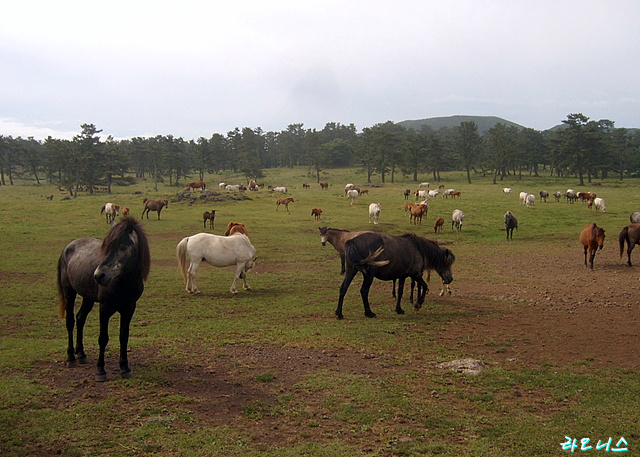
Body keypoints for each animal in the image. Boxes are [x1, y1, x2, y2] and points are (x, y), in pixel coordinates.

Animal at [55, 217, 150, 382]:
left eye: (122, 247)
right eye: (106, 247)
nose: (98, 275)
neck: (124, 283)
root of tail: (68, 247)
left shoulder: (129, 308)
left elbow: (124, 336)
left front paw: (125, 368)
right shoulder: (105, 308)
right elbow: (103, 338)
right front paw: (101, 371)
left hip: (88, 298)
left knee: (80, 318)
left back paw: (81, 354)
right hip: (69, 293)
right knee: (70, 321)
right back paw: (71, 357)